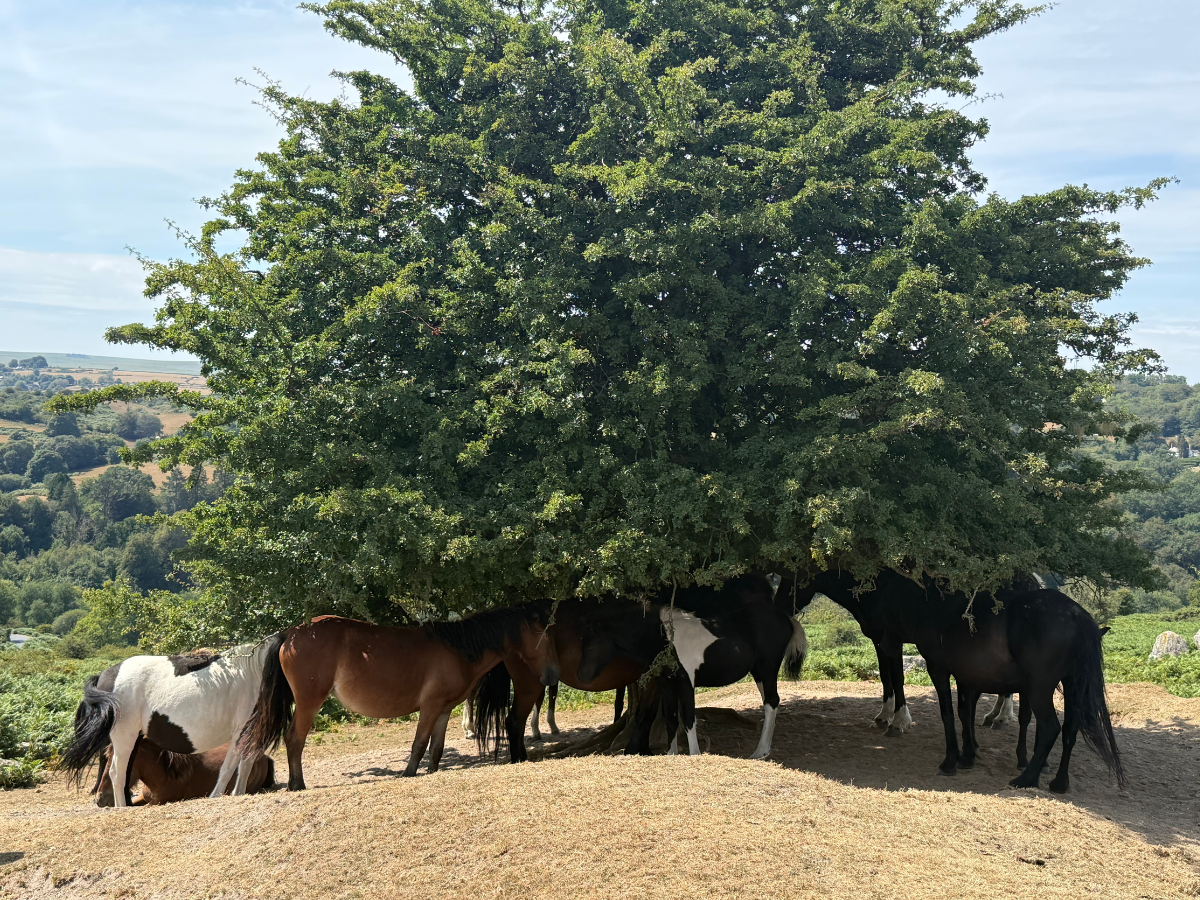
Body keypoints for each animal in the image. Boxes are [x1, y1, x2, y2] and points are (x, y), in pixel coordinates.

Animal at [238, 605, 559, 789]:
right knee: (295, 739)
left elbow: (436, 749)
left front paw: (430, 772)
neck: (456, 649)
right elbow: (419, 744)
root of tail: (291, 633)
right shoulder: (429, 707)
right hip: (308, 703)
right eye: (544, 636)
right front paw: (408, 774)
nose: (552, 677)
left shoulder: (444, 711)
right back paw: (297, 784)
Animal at [575, 573, 808, 759]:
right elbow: (671, 718)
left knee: (771, 702)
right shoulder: (666, 685)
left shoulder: (686, 682)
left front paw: (694, 754)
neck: (665, 638)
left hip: (767, 669)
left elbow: (688, 718)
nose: (581, 677)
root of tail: (786, 619)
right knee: (771, 701)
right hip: (758, 672)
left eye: (592, 643)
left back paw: (759, 752)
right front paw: (671, 754)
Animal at [807, 569, 1124, 792]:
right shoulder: (966, 675)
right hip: (1071, 684)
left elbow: (946, 712)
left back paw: (1026, 777)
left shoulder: (931, 663)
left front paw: (949, 759)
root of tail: (1075, 613)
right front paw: (968, 754)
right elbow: (963, 712)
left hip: (1040, 688)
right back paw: (1058, 782)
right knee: (1070, 728)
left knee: (1049, 727)